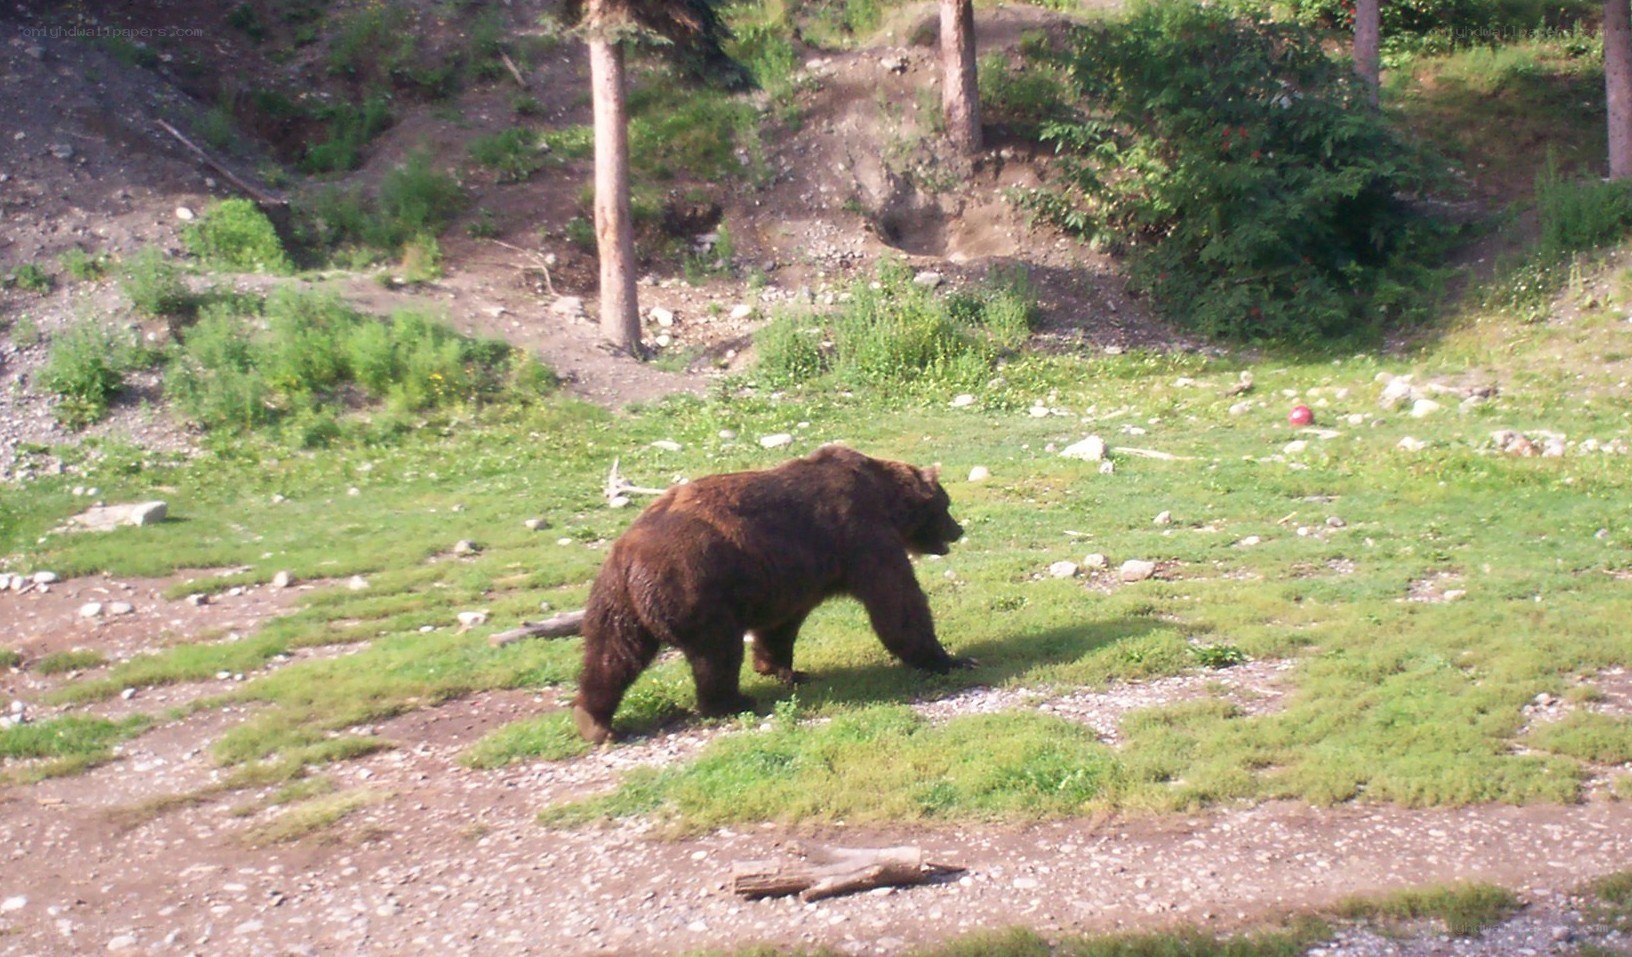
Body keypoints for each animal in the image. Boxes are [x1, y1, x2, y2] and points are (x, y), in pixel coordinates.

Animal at [572, 443, 969, 744]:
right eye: (946, 504)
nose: (958, 529)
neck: (886, 499)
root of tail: (627, 558)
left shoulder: (796, 572)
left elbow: (782, 623)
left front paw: (781, 667)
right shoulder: (861, 535)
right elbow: (898, 602)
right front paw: (947, 658)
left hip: (616, 602)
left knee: (612, 655)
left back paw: (595, 721)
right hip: (694, 587)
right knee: (716, 652)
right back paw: (732, 701)